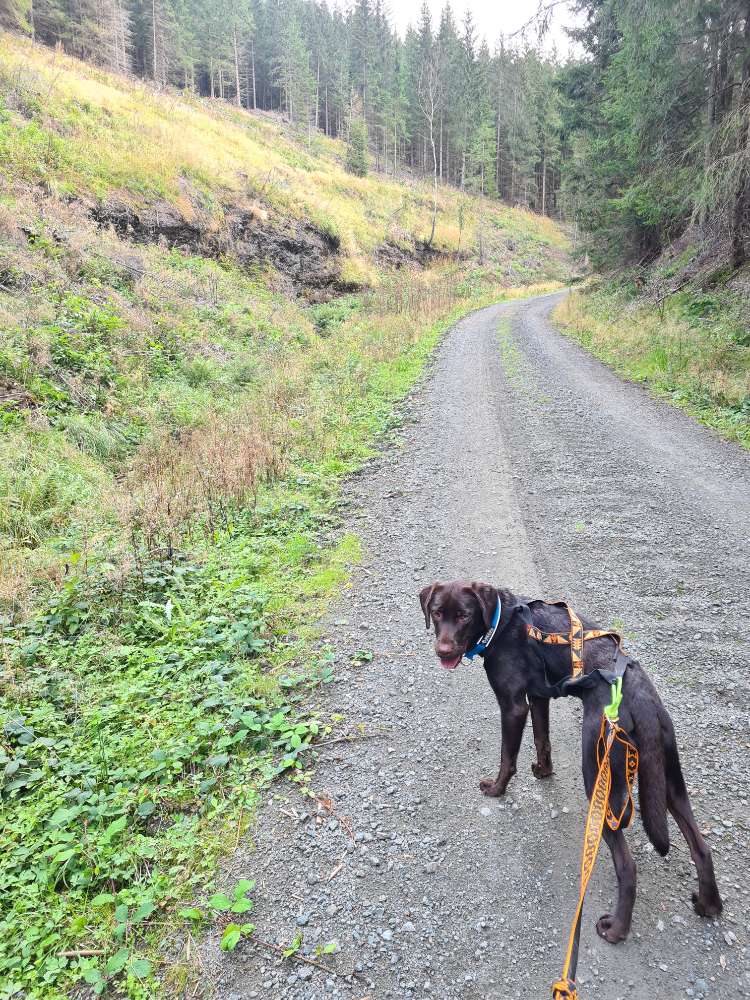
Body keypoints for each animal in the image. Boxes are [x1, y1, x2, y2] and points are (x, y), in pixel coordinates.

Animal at [420, 580, 720, 944]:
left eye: (464, 615)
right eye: (437, 613)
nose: (443, 651)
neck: (502, 621)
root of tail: (642, 699)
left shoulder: (513, 706)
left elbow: (508, 757)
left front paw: (496, 789)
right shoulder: (538, 696)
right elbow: (542, 741)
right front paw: (543, 771)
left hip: (598, 776)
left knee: (628, 865)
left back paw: (617, 929)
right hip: (667, 779)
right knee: (701, 848)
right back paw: (708, 905)